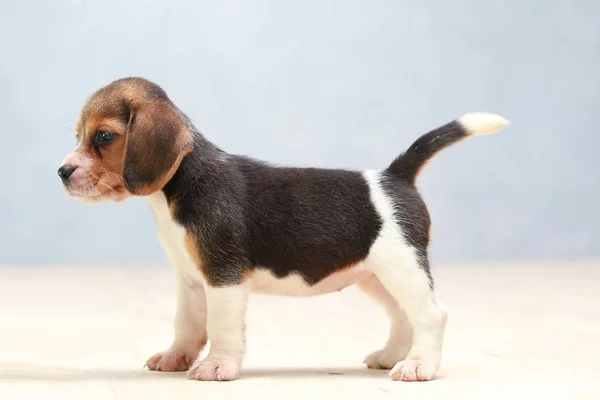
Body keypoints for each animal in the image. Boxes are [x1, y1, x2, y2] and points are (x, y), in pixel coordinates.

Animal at [58, 77, 508, 382]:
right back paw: (391, 355)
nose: (62, 172)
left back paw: (419, 365)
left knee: (432, 315)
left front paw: (218, 365)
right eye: (80, 136)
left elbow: (221, 328)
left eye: (104, 136)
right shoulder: (190, 281)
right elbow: (187, 325)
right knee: (403, 315)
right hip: (377, 276)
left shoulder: (223, 279)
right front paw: (176, 357)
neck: (180, 184)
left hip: (403, 268)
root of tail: (396, 175)